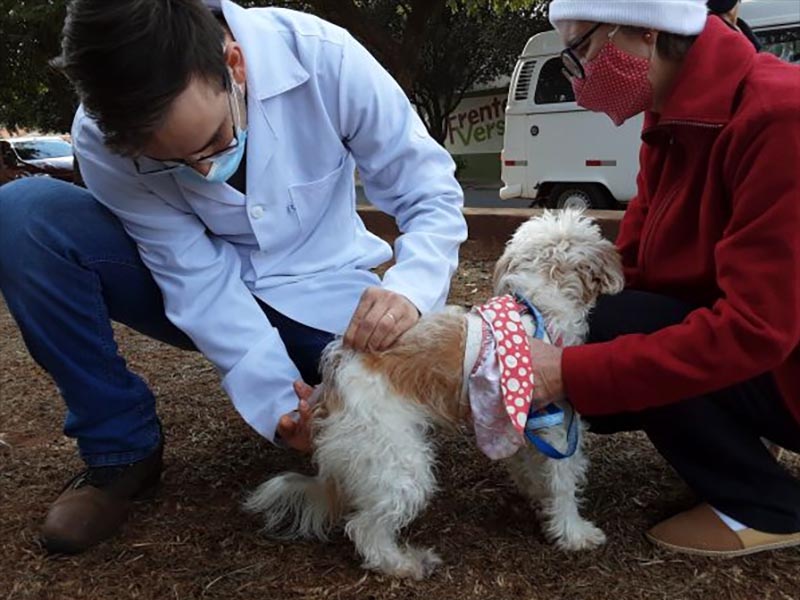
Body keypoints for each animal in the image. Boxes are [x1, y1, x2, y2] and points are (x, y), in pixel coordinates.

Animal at [244, 212, 624, 580]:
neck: (538, 306)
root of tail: (333, 382)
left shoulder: (524, 425)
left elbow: (530, 468)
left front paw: (536, 497)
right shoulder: (557, 428)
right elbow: (563, 483)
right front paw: (574, 532)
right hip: (399, 464)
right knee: (366, 528)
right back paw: (404, 564)